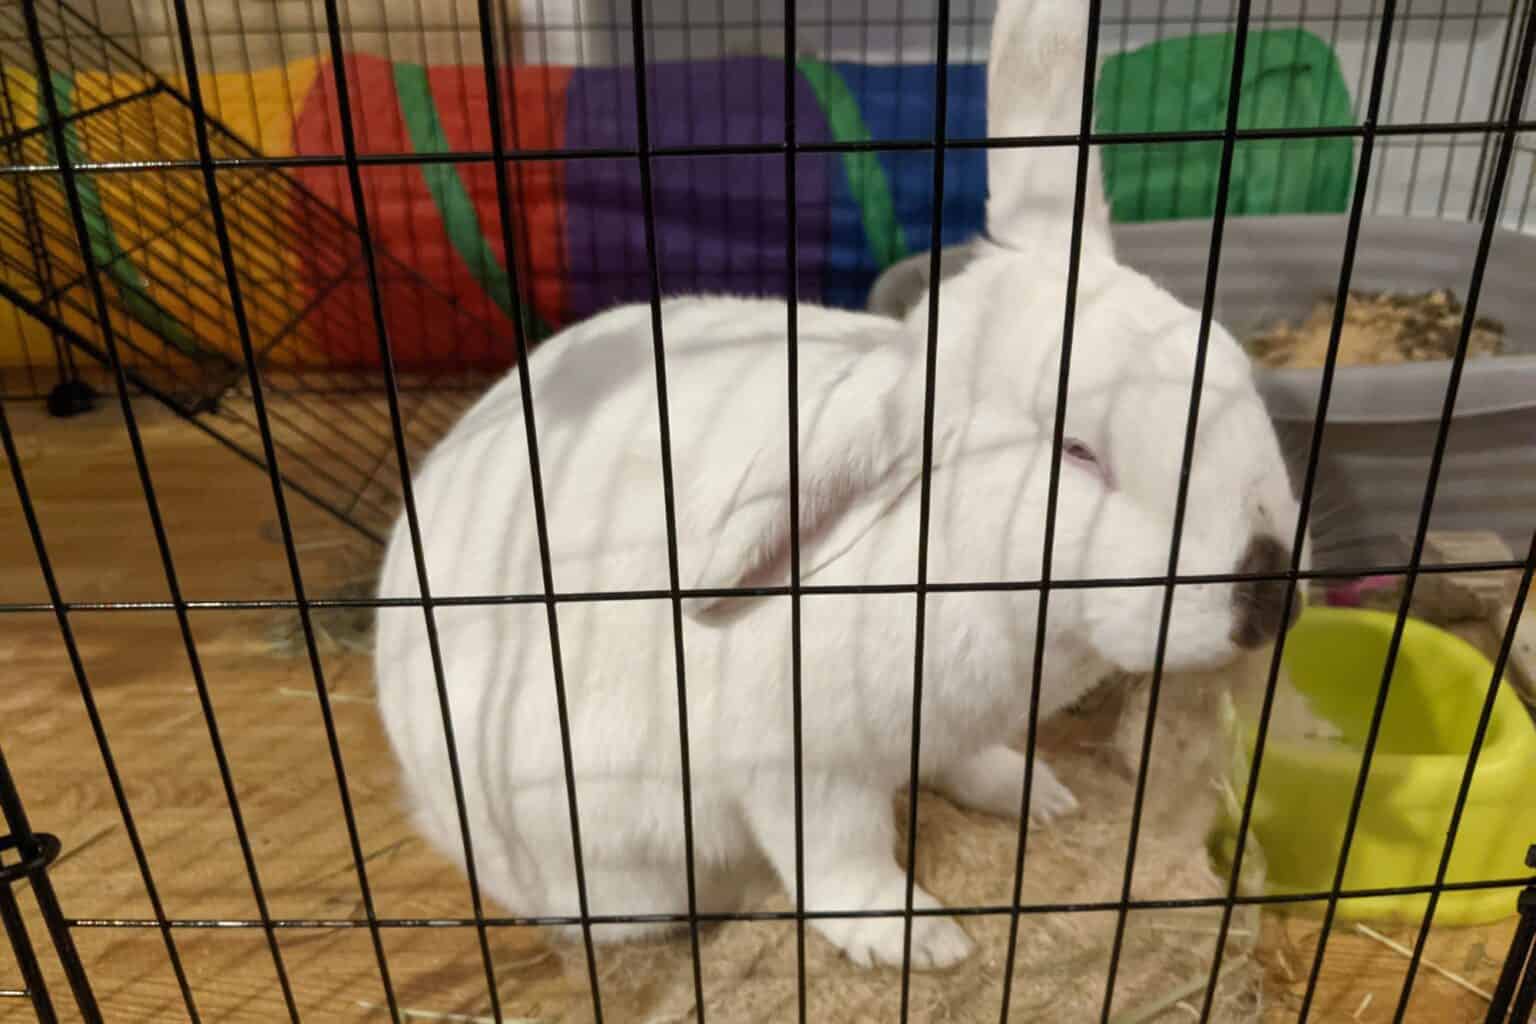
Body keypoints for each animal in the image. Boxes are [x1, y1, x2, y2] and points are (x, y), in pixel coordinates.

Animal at [374, 0, 1305, 972]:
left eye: (1230, 361)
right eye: (1078, 451)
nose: (1268, 594)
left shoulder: (948, 731)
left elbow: (966, 763)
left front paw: (1033, 793)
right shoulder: (803, 774)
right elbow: (840, 865)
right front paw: (920, 942)